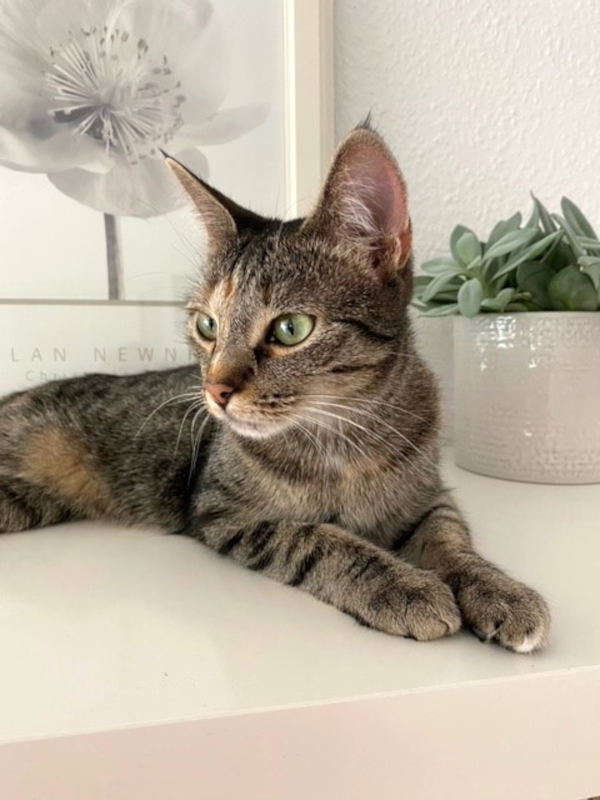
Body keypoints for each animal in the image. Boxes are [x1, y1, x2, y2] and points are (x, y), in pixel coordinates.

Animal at [0, 122, 550, 652]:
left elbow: (451, 538)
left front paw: (499, 590)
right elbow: (320, 541)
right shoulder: (224, 513)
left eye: (291, 328)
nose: (215, 391)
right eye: (207, 326)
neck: (342, 438)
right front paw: (403, 586)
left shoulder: (427, 496)